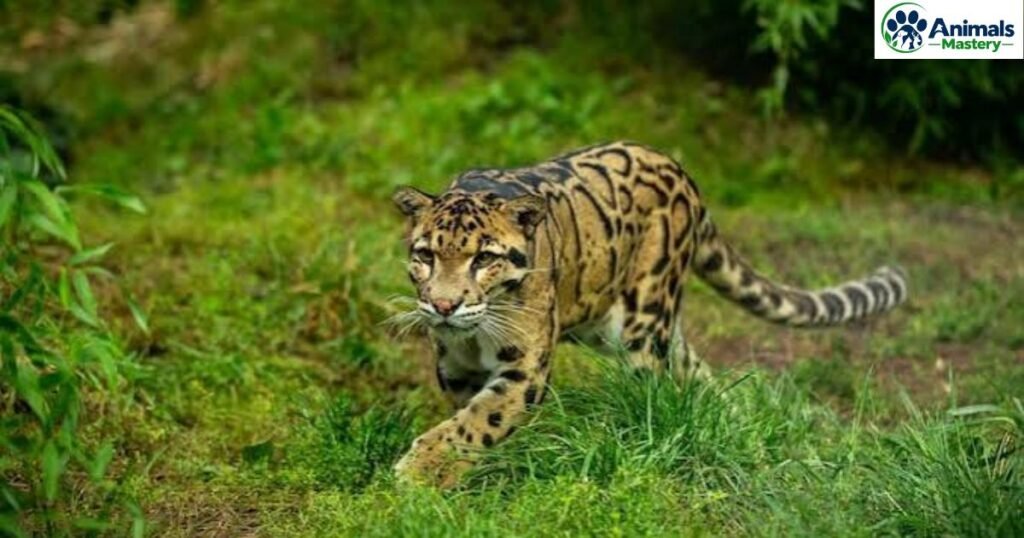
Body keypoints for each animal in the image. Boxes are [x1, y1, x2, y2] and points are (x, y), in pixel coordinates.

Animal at [389, 141, 908, 486]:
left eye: (483, 258)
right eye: (426, 255)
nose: (444, 305)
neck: (474, 335)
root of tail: (680, 171)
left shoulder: (525, 368)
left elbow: (478, 422)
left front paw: (416, 473)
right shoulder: (454, 367)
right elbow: (468, 419)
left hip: (642, 324)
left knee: (655, 391)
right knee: (700, 376)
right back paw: (743, 432)